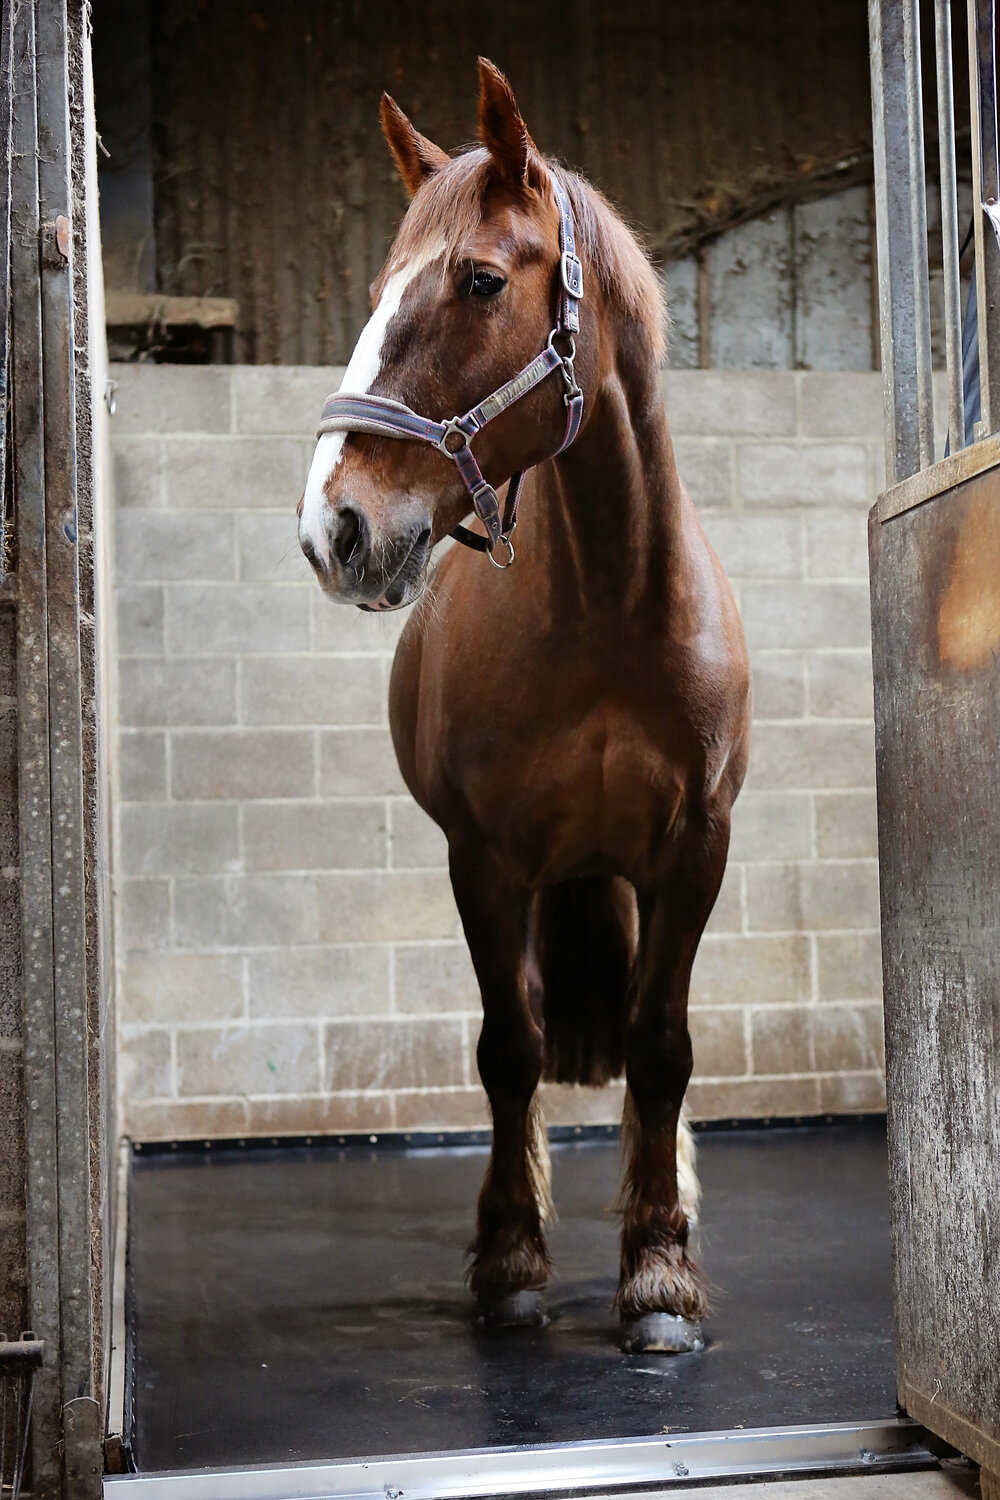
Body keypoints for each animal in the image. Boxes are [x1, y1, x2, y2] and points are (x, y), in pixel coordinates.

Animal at [297, 59, 750, 1354]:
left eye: (481, 279)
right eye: (371, 292)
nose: (333, 527)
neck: (607, 608)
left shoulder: (693, 849)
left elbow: (661, 1047)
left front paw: (660, 1273)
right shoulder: (485, 855)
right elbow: (510, 1050)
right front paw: (510, 1261)